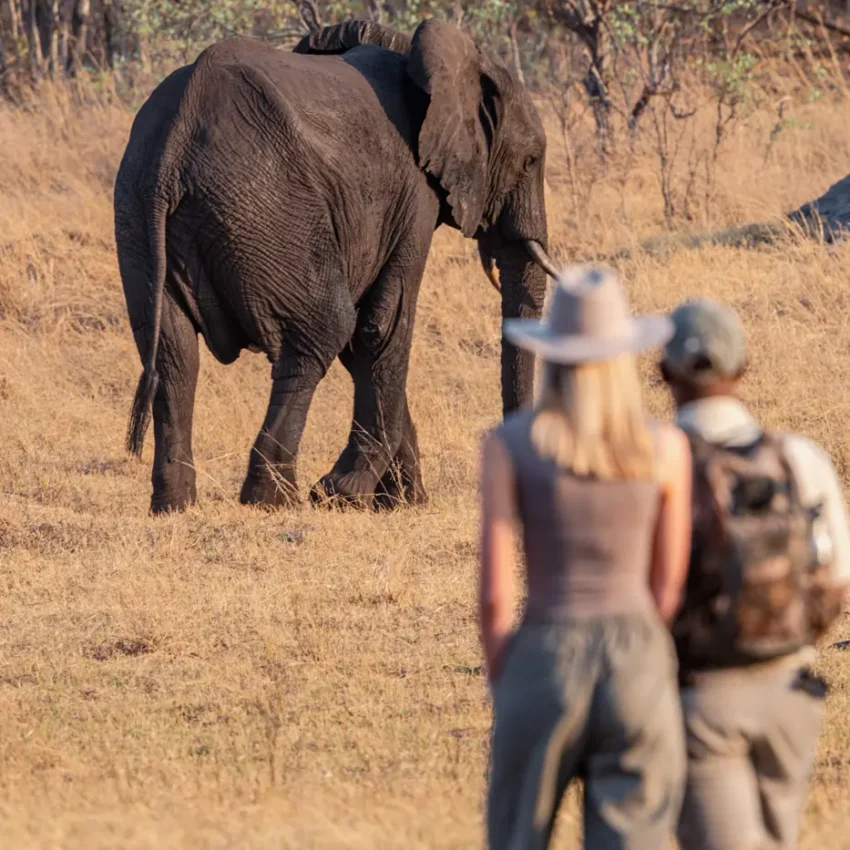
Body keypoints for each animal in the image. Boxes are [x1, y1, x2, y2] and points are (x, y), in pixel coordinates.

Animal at [114, 17, 559, 515]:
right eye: (531, 161)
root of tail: (176, 139)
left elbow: (362, 341)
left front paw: (400, 502)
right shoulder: (414, 194)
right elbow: (381, 326)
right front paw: (346, 494)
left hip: (138, 211)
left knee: (173, 354)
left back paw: (175, 505)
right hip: (267, 205)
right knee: (319, 331)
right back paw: (275, 498)